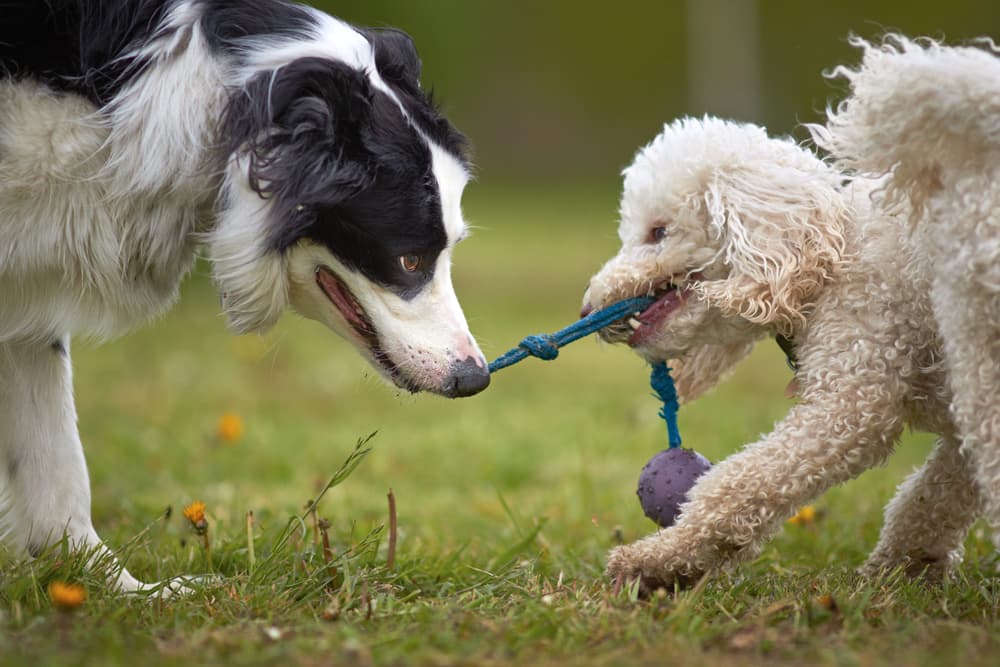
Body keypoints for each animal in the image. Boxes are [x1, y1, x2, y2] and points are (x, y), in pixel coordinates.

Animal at [584, 35, 1000, 596]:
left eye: (658, 232)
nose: (589, 308)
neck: (829, 257)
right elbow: (933, 496)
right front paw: (903, 567)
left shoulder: (857, 382)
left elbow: (745, 481)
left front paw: (662, 559)